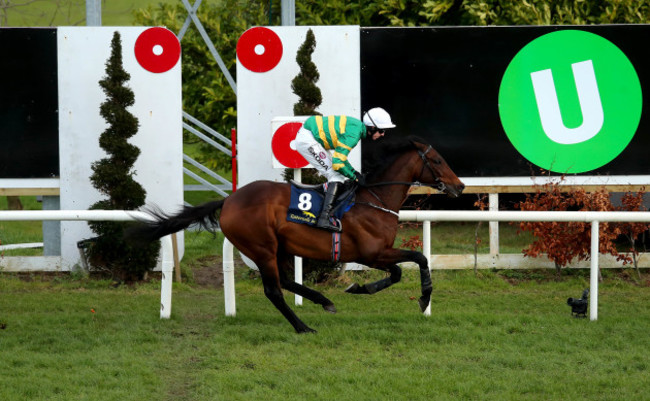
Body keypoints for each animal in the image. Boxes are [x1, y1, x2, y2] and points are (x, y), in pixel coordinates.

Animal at [128, 136, 460, 332]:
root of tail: (229, 200)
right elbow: (417, 260)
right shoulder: (371, 253)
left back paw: (323, 301)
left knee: (286, 281)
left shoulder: (376, 254)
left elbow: (401, 271)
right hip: (261, 247)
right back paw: (302, 326)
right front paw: (422, 298)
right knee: (274, 290)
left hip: (279, 247)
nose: (459, 186)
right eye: (438, 160)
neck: (374, 199)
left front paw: (358, 288)